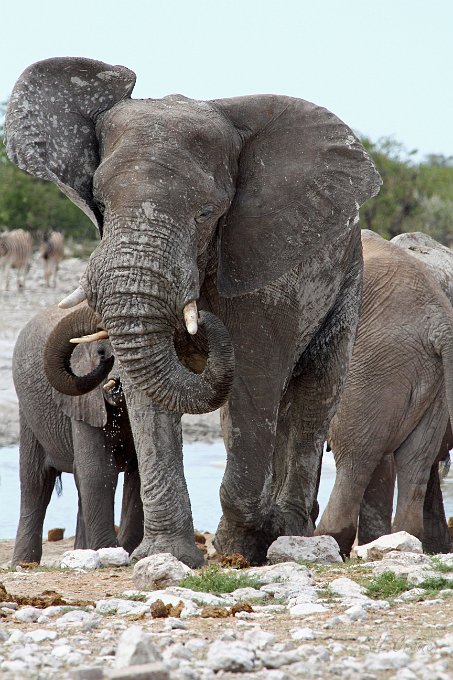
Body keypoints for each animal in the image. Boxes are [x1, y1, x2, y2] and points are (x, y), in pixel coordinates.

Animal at [11, 306, 143, 564]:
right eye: (102, 353)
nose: (116, 384)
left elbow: (138, 473)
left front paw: (118, 551)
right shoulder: (82, 402)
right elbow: (98, 470)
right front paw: (110, 550)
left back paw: (82, 551)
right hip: (29, 414)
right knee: (35, 482)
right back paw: (23, 564)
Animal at [316, 231, 453, 556]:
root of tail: (439, 322)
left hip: (372, 365)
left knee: (355, 457)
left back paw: (324, 540)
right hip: (428, 382)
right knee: (416, 460)